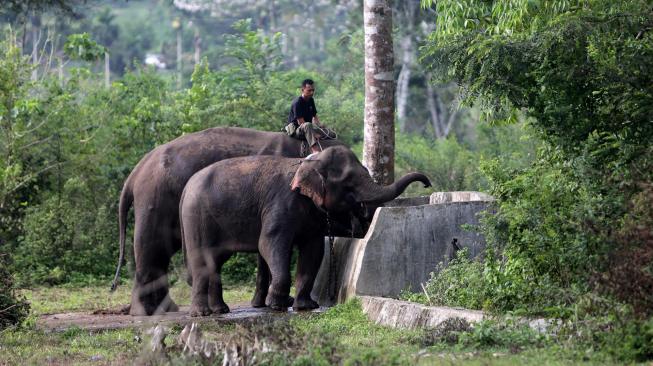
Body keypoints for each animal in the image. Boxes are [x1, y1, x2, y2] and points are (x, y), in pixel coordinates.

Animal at [111, 126, 346, 314]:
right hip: (155, 201)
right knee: (153, 248)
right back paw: (147, 312)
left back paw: (166, 309)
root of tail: (136, 172)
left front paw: (262, 304)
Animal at [180, 144, 432, 316]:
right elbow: (269, 243)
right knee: (202, 260)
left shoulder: (311, 215)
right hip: (197, 217)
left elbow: (313, 250)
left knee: (215, 261)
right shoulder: (280, 203)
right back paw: (202, 314)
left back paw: (220, 310)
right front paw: (277, 305)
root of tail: (186, 187)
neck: (306, 162)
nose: (427, 183)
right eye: (348, 183)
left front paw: (306, 306)